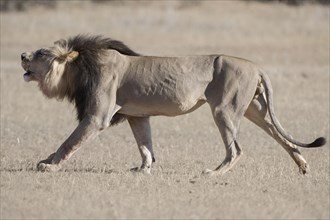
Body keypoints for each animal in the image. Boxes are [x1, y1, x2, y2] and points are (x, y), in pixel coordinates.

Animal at [21, 34, 326, 175]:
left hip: (224, 109)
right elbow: (145, 145)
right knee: (281, 136)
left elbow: (70, 141)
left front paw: (48, 165)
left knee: (236, 149)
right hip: (254, 109)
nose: (22, 55)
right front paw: (143, 169)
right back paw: (303, 167)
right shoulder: (137, 115)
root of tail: (256, 66)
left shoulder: (98, 116)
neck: (77, 70)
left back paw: (213, 173)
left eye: (41, 53)